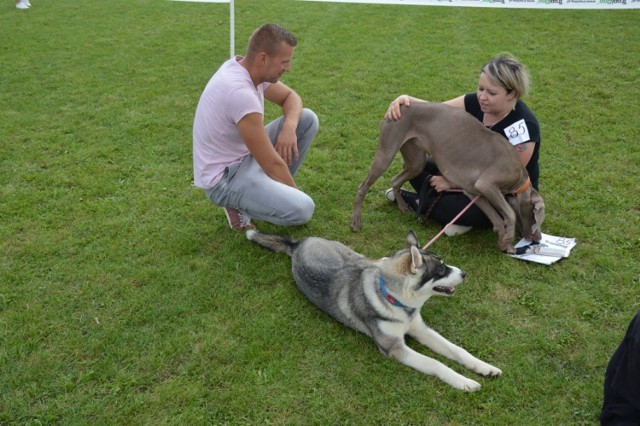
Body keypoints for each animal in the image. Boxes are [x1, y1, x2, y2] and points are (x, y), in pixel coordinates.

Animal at [248, 228, 502, 392]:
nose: (464, 273)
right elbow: (435, 363)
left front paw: (485, 367)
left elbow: (457, 350)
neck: (398, 303)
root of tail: (298, 244)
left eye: (444, 263)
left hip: (354, 255)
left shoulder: (421, 329)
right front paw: (464, 382)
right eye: (440, 270)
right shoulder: (394, 348)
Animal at [350, 102, 544, 253]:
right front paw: (508, 240)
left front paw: (505, 244)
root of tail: (401, 105)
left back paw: (403, 206)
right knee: (362, 187)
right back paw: (356, 221)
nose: (538, 238)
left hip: (416, 161)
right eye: (537, 217)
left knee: (395, 180)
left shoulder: (474, 192)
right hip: (386, 152)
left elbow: (497, 218)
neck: (519, 177)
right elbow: (510, 213)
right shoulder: (486, 185)